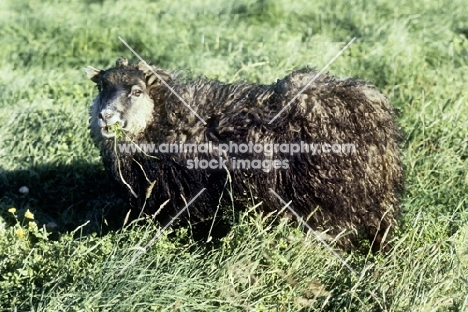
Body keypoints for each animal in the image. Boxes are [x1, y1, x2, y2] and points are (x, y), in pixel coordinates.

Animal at [86, 56, 404, 251]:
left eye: (137, 91)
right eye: (102, 87)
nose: (106, 117)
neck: (165, 119)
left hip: (330, 201)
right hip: (374, 203)